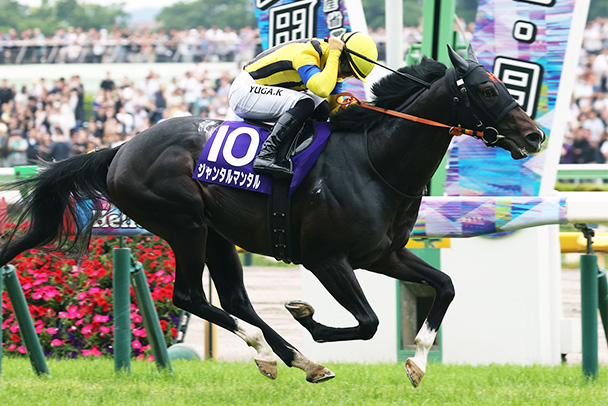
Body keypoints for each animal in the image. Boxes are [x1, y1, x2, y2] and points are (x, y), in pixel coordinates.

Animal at [0, 45, 543, 387]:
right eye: (488, 90)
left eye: (505, 84)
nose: (535, 135)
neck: (375, 159)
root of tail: (122, 148)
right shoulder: (327, 258)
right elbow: (367, 321)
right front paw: (310, 320)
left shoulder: (383, 254)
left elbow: (445, 286)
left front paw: (418, 364)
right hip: (183, 223)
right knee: (191, 296)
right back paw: (274, 351)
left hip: (217, 233)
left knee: (236, 299)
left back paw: (295, 359)